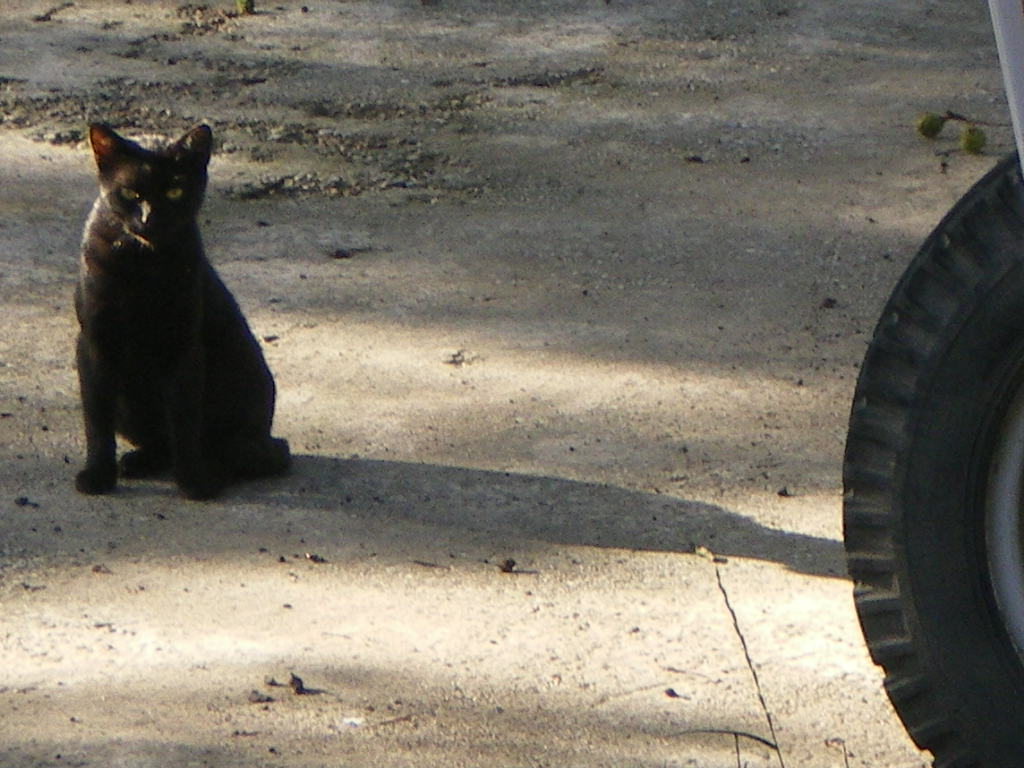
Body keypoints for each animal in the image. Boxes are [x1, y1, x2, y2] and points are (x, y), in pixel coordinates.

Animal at [74, 123, 288, 501]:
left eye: (175, 190)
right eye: (130, 193)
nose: (150, 217)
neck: (142, 266)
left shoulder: (184, 347)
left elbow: (185, 421)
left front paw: (193, 481)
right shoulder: (95, 343)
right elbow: (96, 419)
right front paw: (98, 475)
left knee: (242, 456)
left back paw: (212, 471)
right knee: (160, 442)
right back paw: (137, 462)